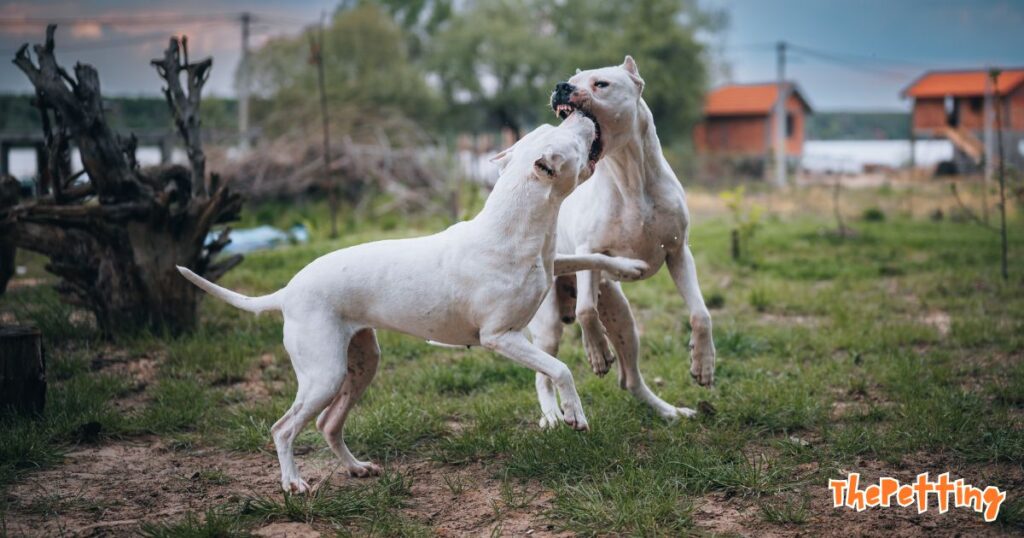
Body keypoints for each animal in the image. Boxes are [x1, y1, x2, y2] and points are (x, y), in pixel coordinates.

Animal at [174, 115, 638, 493]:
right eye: (568, 140)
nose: (581, 114)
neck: (517, 226)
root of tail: (287, 291)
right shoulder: (500, 337)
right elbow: (559, 369)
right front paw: (575, 415)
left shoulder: (553, 265)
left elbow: (589, 259)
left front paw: (629, 265)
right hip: (324, 374)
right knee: (284, 428)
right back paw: (292, 483)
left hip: (361, 364)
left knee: (328, 423)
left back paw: (357, 468)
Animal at [532, 53, 716, 424]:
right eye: (572, 79)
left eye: (600, 83)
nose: (562, 86)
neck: (630, 177)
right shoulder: (589, 251)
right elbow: (587, 311)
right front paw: (597, 353)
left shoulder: (679, 252)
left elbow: (700, 314)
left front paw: (702, 365)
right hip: (548, 326)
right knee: (543, 374)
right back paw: (553, 415)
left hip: (621, 314)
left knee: (630, 379)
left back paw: (669, 411)